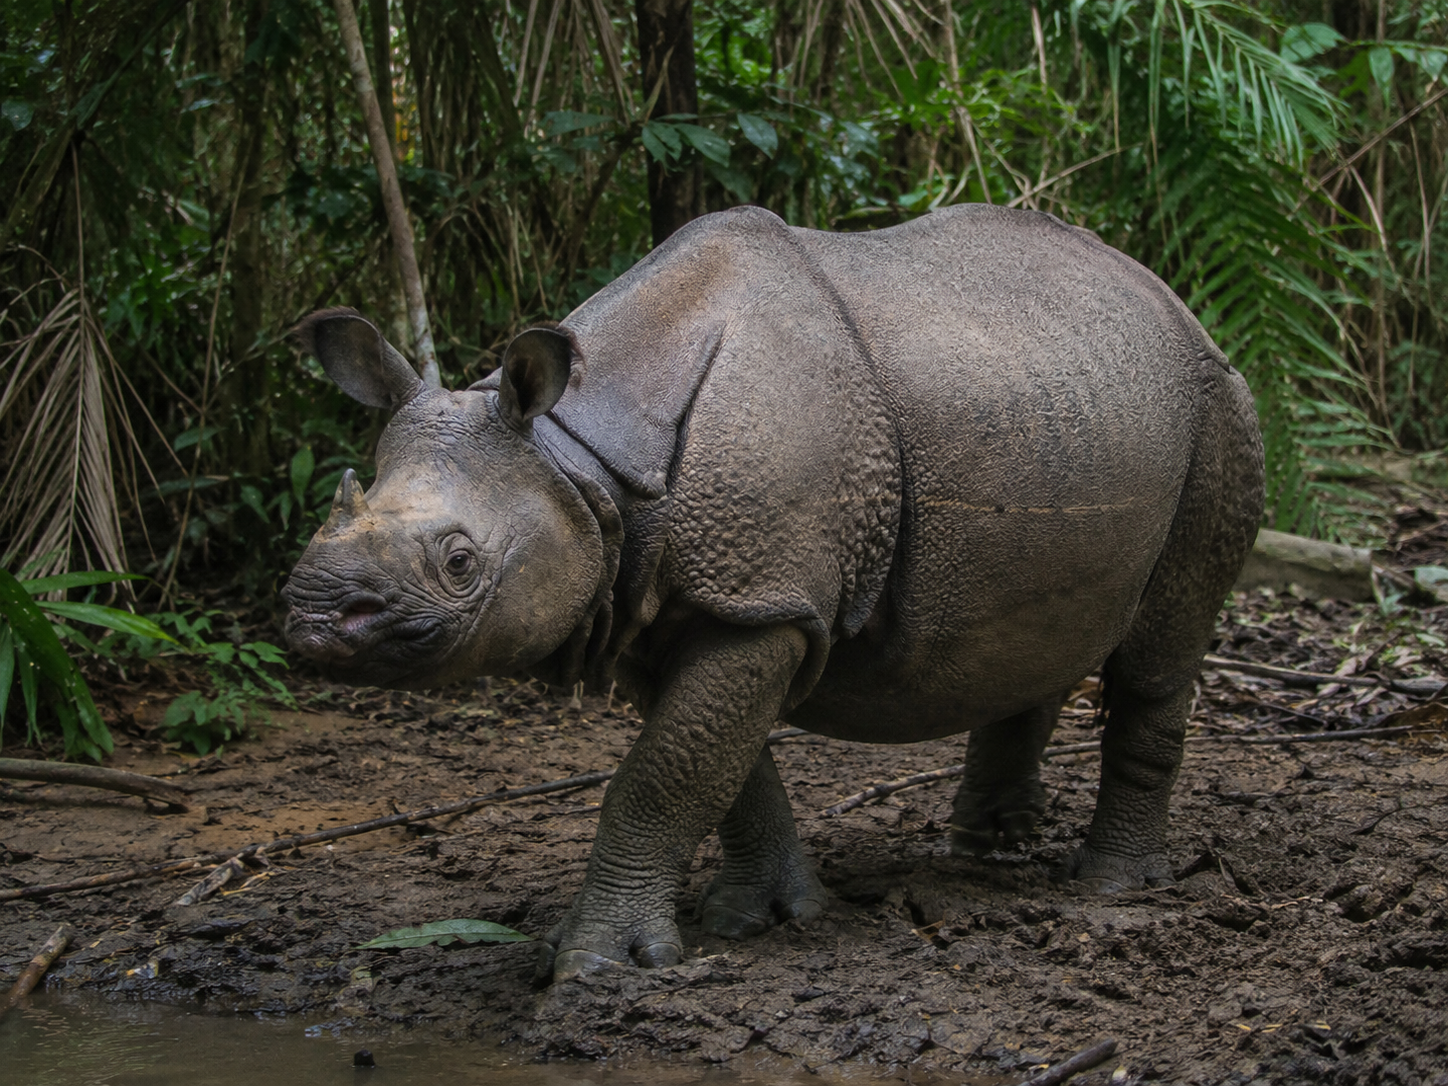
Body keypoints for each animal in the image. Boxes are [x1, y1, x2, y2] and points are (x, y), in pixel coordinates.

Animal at [283, 204, 1264, 983]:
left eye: (459, 561)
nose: (315, 618)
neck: (575, 460)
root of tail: (1173, 300)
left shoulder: (763, 599)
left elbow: (664, 773)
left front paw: (598, 963)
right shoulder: (695, 603)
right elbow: (717, 764)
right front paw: (766, 917)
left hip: (1218, 408)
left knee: (1159, 650)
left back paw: (1108, 886)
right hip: (1063, 404)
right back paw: (989, 849)